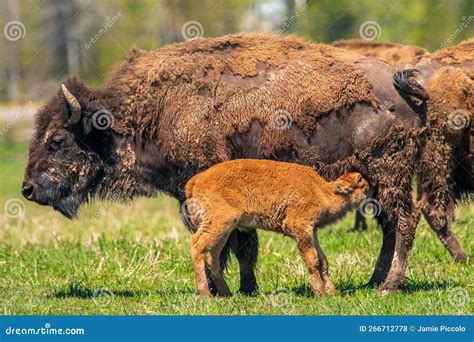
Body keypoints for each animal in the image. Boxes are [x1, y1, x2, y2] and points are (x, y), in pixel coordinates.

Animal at [183, 160, 372, 296]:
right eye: (361, 183)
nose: (370, 187)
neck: (322, 191)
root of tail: (197, 180)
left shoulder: (312, 231)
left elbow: (323, 260)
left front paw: (333, 292)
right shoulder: (299, 227)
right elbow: (312, 259)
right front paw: (321, 293)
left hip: (224, 230)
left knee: (211, 255)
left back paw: (226, 293)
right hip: (219, 223)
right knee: (197, 245)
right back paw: (205, 293)